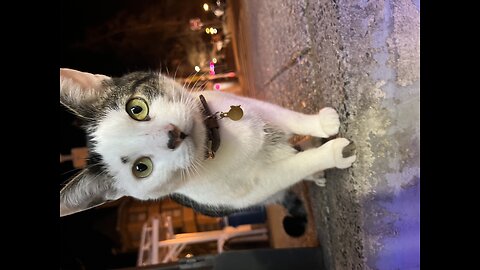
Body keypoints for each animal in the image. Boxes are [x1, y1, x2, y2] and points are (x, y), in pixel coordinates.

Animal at [59, 68, 356, 217]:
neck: (217, 138)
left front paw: (321, 123)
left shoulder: (245, 104)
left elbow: (285, 116)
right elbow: (295, 167)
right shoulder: (260, 184)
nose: (173, 135)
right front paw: (335, 153)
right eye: (141, 168)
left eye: (136, 109)